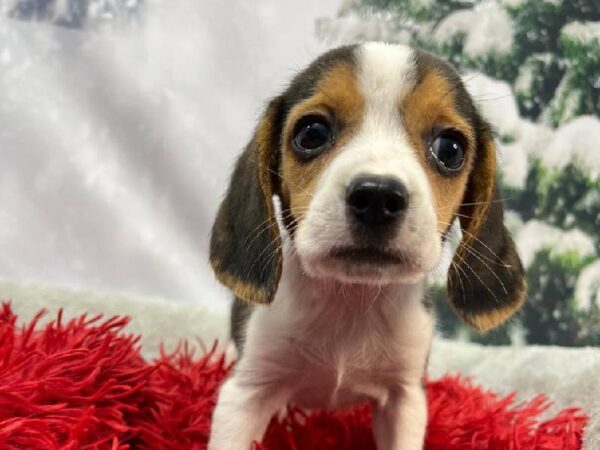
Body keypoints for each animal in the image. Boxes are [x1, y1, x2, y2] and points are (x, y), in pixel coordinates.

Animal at [207, 42, 524, 450]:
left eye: (450, 149)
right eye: (312, 132)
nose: (377, 197)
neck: (352, 298)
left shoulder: (405, 398)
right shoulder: (246, 390)